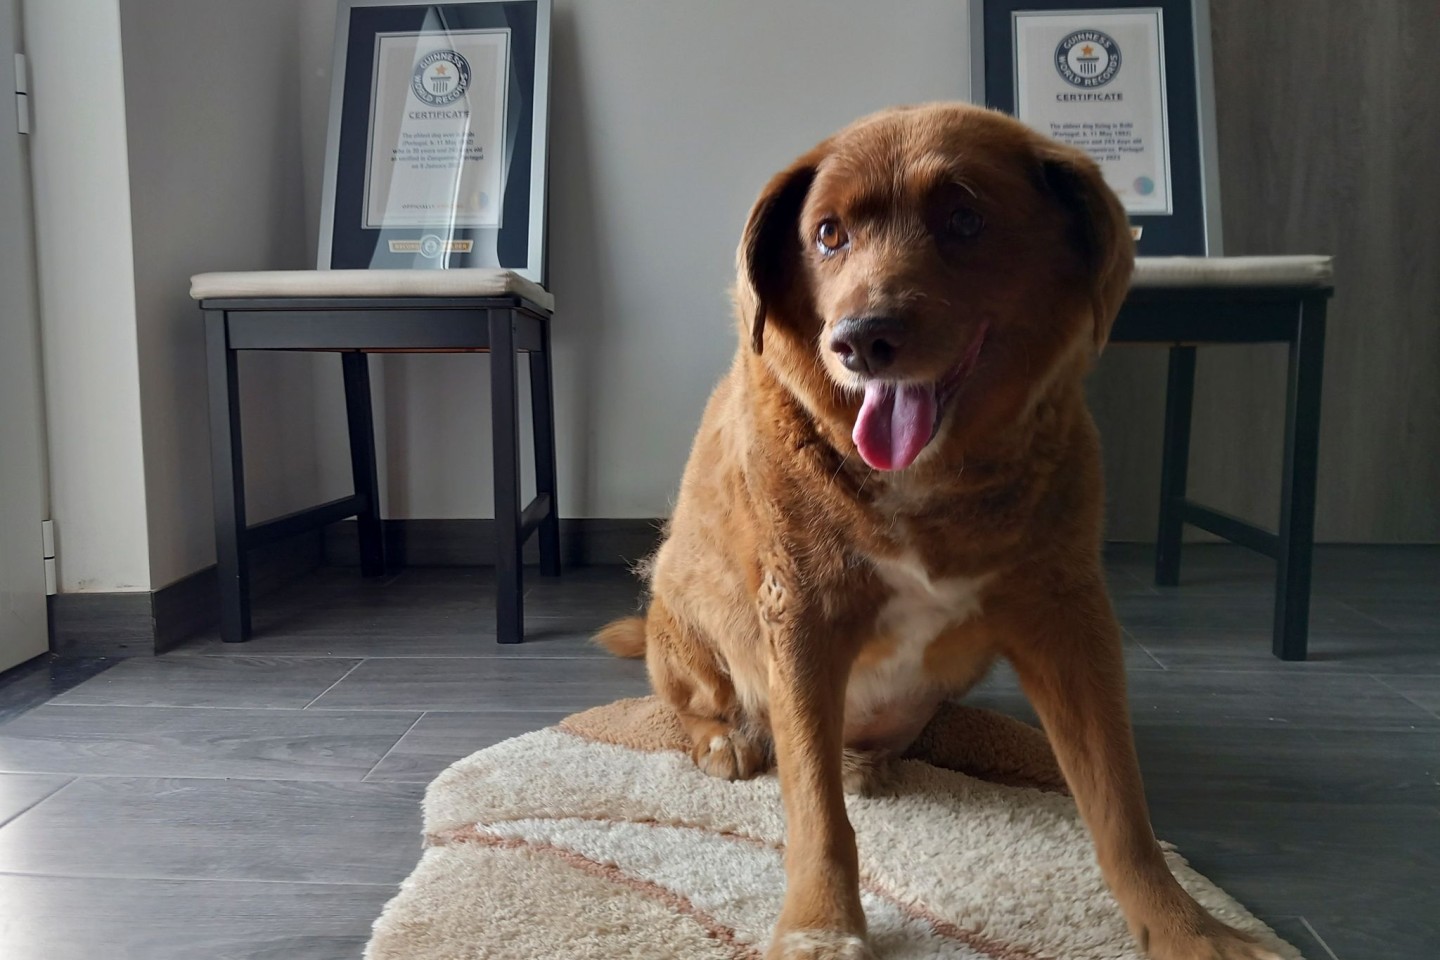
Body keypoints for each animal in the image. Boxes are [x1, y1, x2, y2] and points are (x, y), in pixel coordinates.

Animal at [601, 103, 1278, 960]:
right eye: (828, 234)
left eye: (964, 220)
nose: (858, 339)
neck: (928, 478)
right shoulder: (803, 611)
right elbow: (816, 811)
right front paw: (821, 923)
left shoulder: (1068, 613)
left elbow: (1121, 806)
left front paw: (1186, 927)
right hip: (682, 618)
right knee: (697, 704)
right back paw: (728, 738)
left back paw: (872, 760)